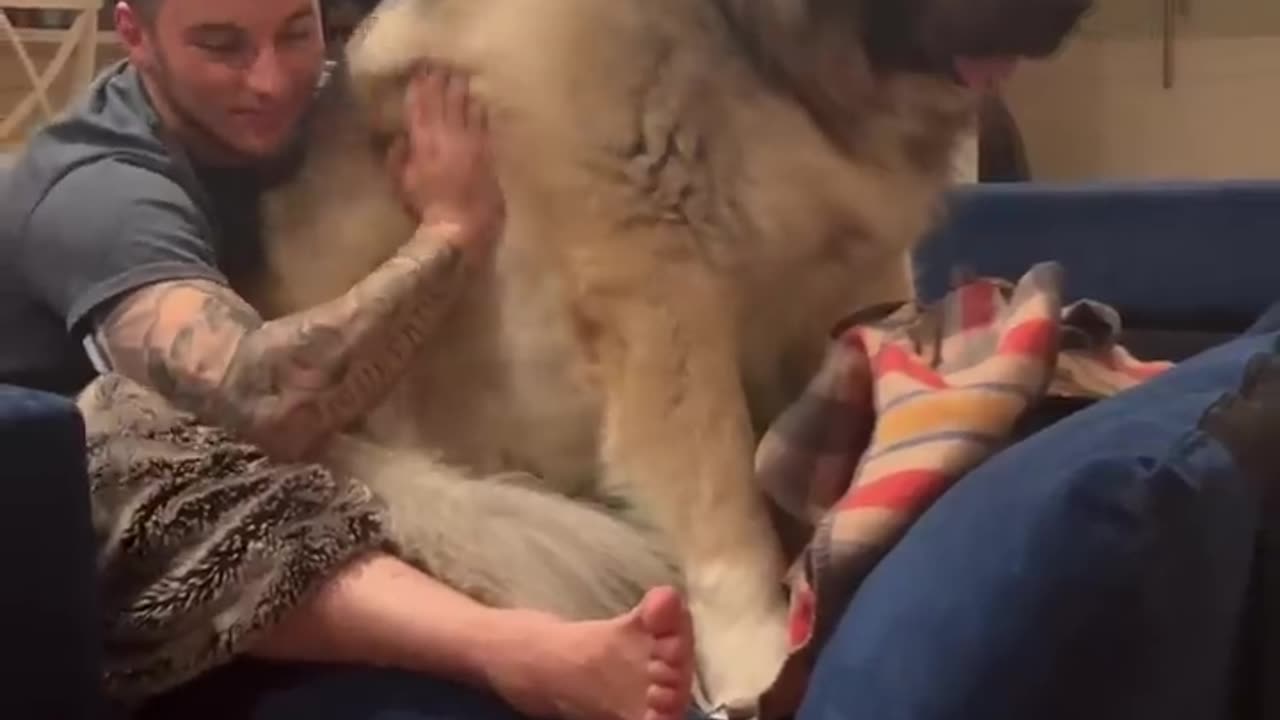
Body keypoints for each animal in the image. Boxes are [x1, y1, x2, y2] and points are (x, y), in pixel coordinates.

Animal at [247, 0, 1090, 707]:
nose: (1067, 14)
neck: (761, 53)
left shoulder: (850, 270)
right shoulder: (661, 292)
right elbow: (720, 496)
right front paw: (758, 658)